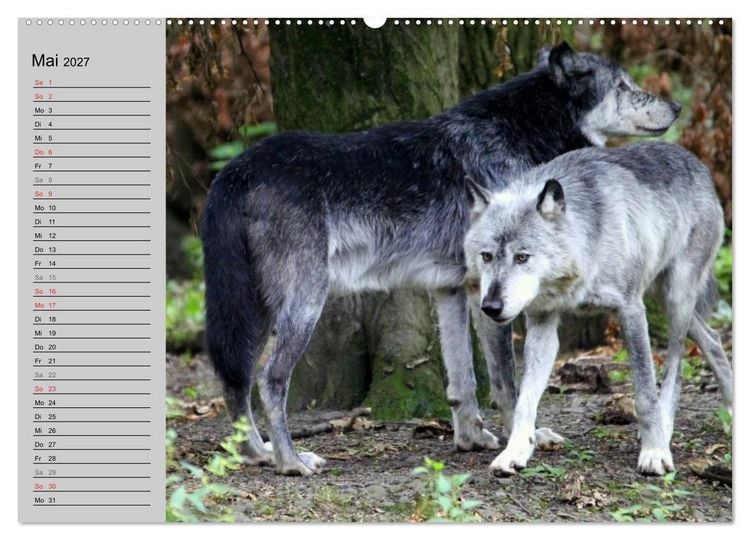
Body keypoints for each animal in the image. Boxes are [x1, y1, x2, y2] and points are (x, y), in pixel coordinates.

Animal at [201, 42, 681, 476]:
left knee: (234, 379)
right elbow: (506, 383)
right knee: (269, 381)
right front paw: (519, 442)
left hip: (254, 310)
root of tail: (235, 171)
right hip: (303, 306)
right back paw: (291, 462)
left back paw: (258, 453)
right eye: (623, 86)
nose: (676, 106)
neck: (518, 131)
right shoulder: (492, 299)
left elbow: (462, 381)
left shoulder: (453, 289)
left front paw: (470, 438)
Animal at [464, 142, 732, 476]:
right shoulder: (542, 324)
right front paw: (514, 452)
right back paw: (732, 409)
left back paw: (665, 431)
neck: (587, 246)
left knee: (676, 369)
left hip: (676, 298)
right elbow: (525, 399)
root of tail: (690, 158)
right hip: (663, 298)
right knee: (713, 338)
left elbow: (645, 393)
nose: (491, 306)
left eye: (522, 257)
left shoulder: (631, 309)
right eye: (486, 256)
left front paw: (655, 452)